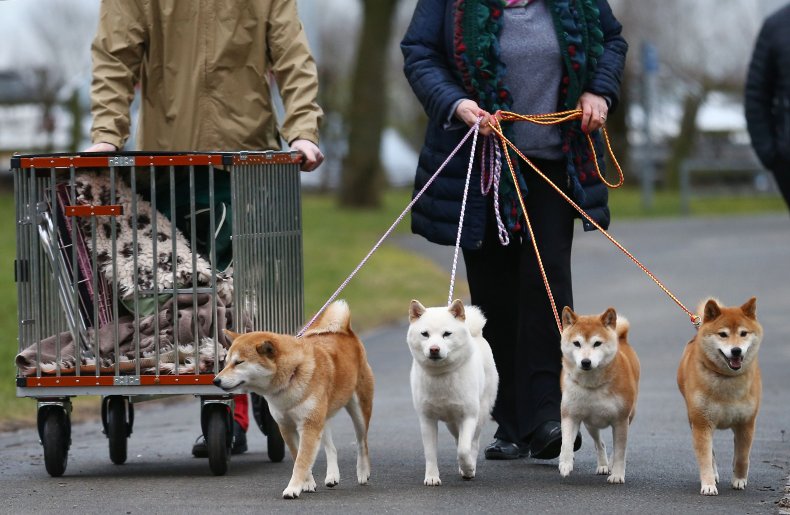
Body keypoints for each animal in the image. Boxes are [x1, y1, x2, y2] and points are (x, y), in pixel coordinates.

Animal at [212, 302, 376, 500]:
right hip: (322, 418)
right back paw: (332, 476)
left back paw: (363, 472)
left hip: (358, 410)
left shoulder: (309, 426)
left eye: (239, 362)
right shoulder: (287, 427)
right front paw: (307, 483)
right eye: (226, 362)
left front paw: (292, 488)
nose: (215, 381)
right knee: (331, 448)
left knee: (362, 442)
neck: (292, 374)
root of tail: (346, 332)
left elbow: (301, 461)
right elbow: (299, 456)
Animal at [408, 300, 502, 486]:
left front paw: (468, 468)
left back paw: (469, 466)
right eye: (425, 334)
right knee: (458, 437)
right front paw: (432, 477)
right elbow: (430, 453)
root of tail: (476, 335)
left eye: (446, 334)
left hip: (480, 413)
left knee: (473, 443)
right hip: (451, 422)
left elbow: (464, 450)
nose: (434, 349)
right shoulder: (427, 419)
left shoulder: (469, 416)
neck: (441, 375)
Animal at [560, 308, 640, 486]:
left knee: (616, 448)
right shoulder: (570, 415)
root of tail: (621, 339)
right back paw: (603, 465)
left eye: (597, 343)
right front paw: (565, 464)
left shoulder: (621, 420)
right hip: (590, 424)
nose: (586, 362)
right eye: (577, 343)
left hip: (628, 417)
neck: (592, 385)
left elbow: (620, 452)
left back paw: (610, 465)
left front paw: (617, 475)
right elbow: (566, 443)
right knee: (600, 443)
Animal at [676, 298, 764, 496]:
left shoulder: (746, 423)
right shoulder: (702, 423)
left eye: (743, 333)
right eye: (723, 334)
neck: (727, 379)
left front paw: (739, 479)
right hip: (694, 419)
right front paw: (708, 484)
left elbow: (742, 456)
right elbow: (706, 458)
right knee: (712, 454)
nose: (736, 350)